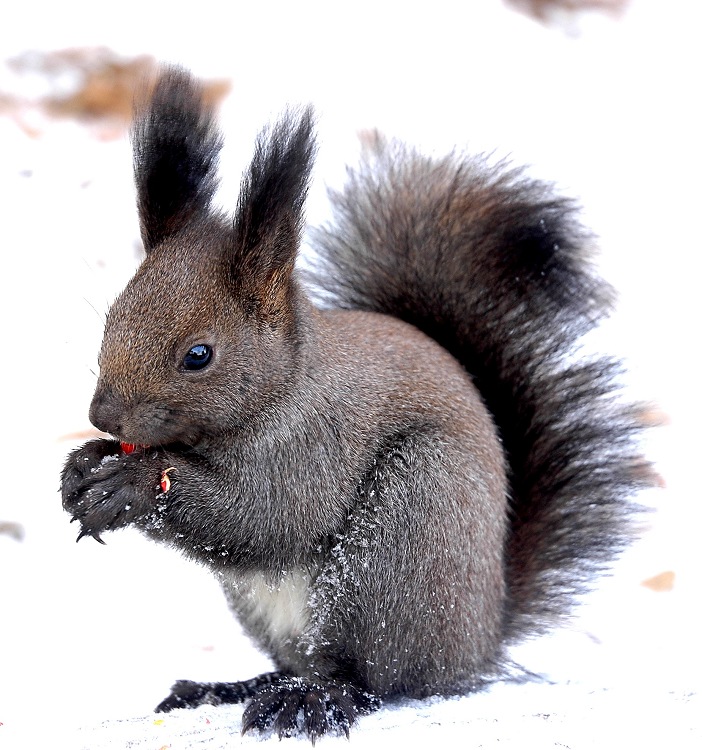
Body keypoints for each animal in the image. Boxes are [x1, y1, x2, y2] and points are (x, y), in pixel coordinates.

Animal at [62, 67, 660, 744]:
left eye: (198, 355)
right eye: (111, 317)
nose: (104, 417)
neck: (286, 385)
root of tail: (479, 643)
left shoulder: (319, 441)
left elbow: (265, 514)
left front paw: (131, 482)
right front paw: (84, 466)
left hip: (400, 539)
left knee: (375, 679)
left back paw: (314, 700)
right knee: (300, 663)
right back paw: (230, 687)